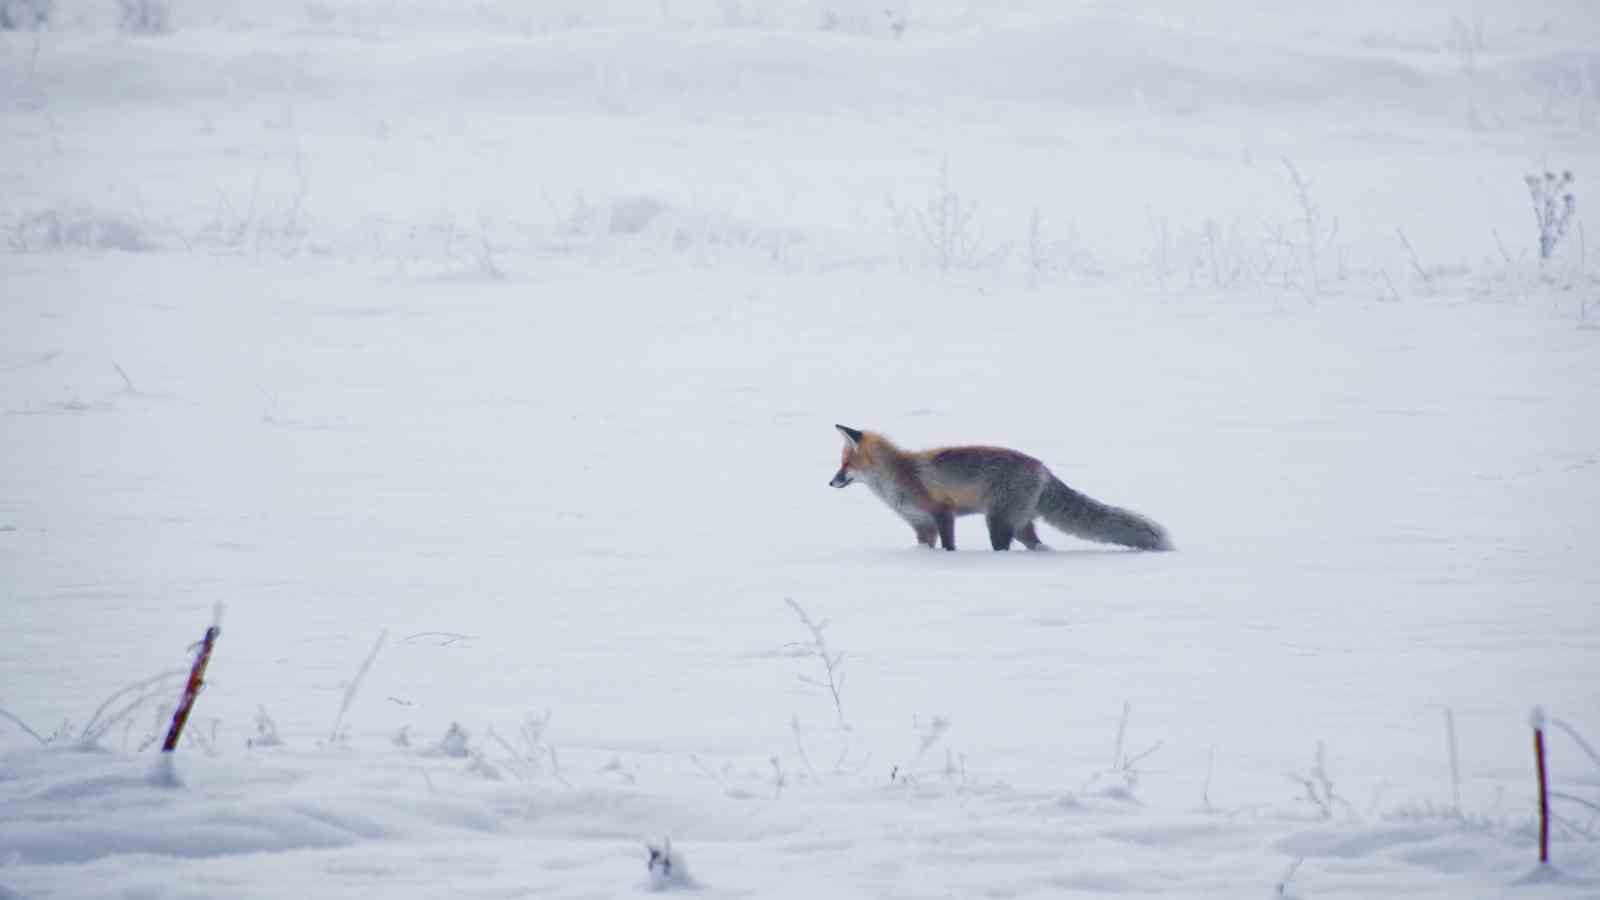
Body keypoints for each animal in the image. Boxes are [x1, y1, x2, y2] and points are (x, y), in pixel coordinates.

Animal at [832, 422, 1171, 550]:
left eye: (846, 465)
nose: (831, 482)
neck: (899, 476)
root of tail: (1043, 467)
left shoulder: (943, 513)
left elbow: (950, 546)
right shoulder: (921, 526)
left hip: (997, 523)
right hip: (1019, 525)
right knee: (1039, 546)